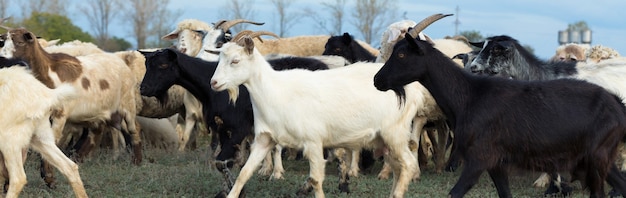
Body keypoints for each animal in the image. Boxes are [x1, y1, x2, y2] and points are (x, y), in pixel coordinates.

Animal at [205, 29, 438, 196]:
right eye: (220, 59)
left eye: (235, 61)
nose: (213, 83)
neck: (275, 90)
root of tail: (413, 89)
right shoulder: (265, 139)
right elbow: (244, 174)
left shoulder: (313, 142)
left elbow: (316, 179)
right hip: (385, 140)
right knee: (399, 169)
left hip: (395, 133)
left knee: (408, 165)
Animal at [370, 24, 626, 197]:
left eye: (401, 54)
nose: (377, 80)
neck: (470, 95)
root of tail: (616, 103)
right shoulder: (496, 164)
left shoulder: (479, 159)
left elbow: (455, 192)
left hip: (596, 155)